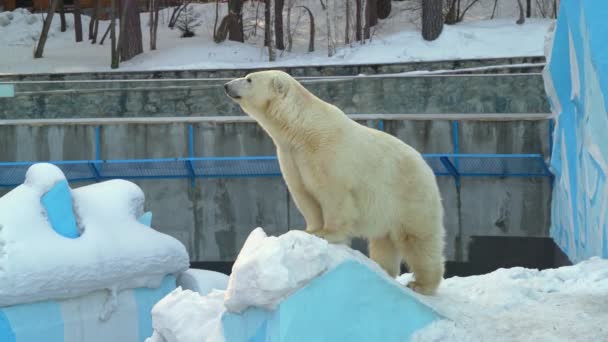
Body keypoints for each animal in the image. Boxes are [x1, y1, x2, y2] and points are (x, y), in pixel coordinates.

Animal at [223, 71, 446, 296]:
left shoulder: (328, 152)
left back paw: (421, 284)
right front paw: (310, 231)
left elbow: (333, 193)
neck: (301, 128)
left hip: (409, 194)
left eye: (249, 79)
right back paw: (383, 269)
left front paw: (327, 233)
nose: (226, 85)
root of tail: (426, 166)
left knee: (418, 240)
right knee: (383, 242)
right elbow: (304, 194)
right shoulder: (291, 157)